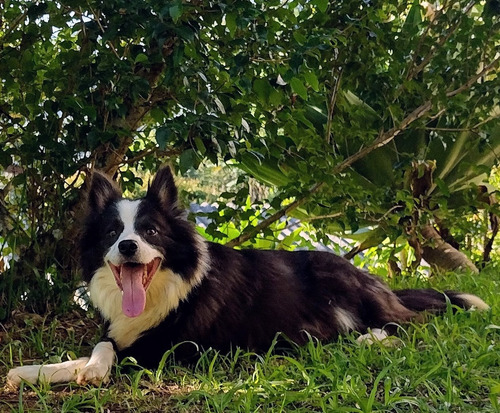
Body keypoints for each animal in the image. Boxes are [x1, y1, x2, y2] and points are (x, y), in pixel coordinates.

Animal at [6, 166, 488, 384]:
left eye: (150, 231)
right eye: (111, 232)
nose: (127, 247)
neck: (169, 289)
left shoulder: (173, 350)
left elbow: (115, 355)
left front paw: (67, 370)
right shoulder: (118, 331)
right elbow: (101, 347)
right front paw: (39, 370)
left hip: (339, 276)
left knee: (412, 323)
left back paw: (372, 338)